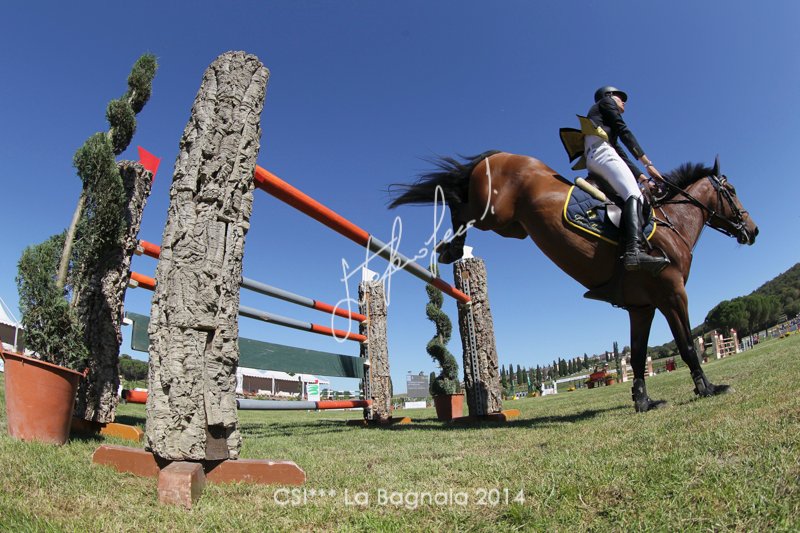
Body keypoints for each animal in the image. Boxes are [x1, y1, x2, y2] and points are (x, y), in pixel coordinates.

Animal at [389, 151, 758, 412]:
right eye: (731, 190)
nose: (753, 230)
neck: (674, 226)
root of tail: (497, 155)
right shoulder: (672, 294)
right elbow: (686, 345)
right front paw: (708, 388)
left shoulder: (642, 307)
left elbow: (638, 356)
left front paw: (643, 401)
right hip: (494, 211)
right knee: (458, 202)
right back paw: (449, 247)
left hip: (512, 227)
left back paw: (450, 248)